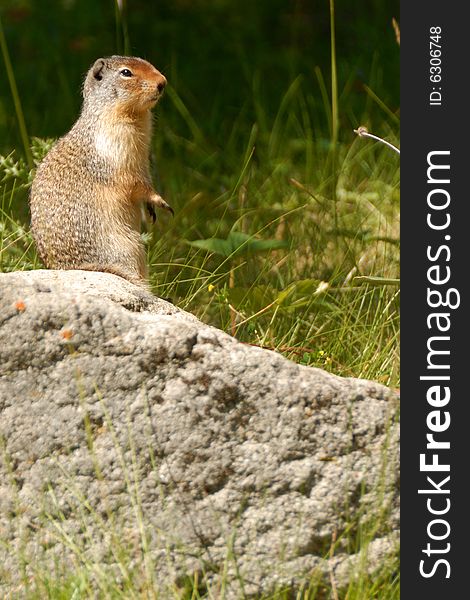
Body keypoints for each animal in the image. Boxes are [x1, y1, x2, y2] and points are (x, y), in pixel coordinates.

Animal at [28, 56, 171, 288]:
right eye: (126, 72)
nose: (163, 82)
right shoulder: (119, 152)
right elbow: (136, 183)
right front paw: (160, 202)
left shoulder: (143, 161)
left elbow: (145, 179)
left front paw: (152, 208)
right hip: (129, 247)